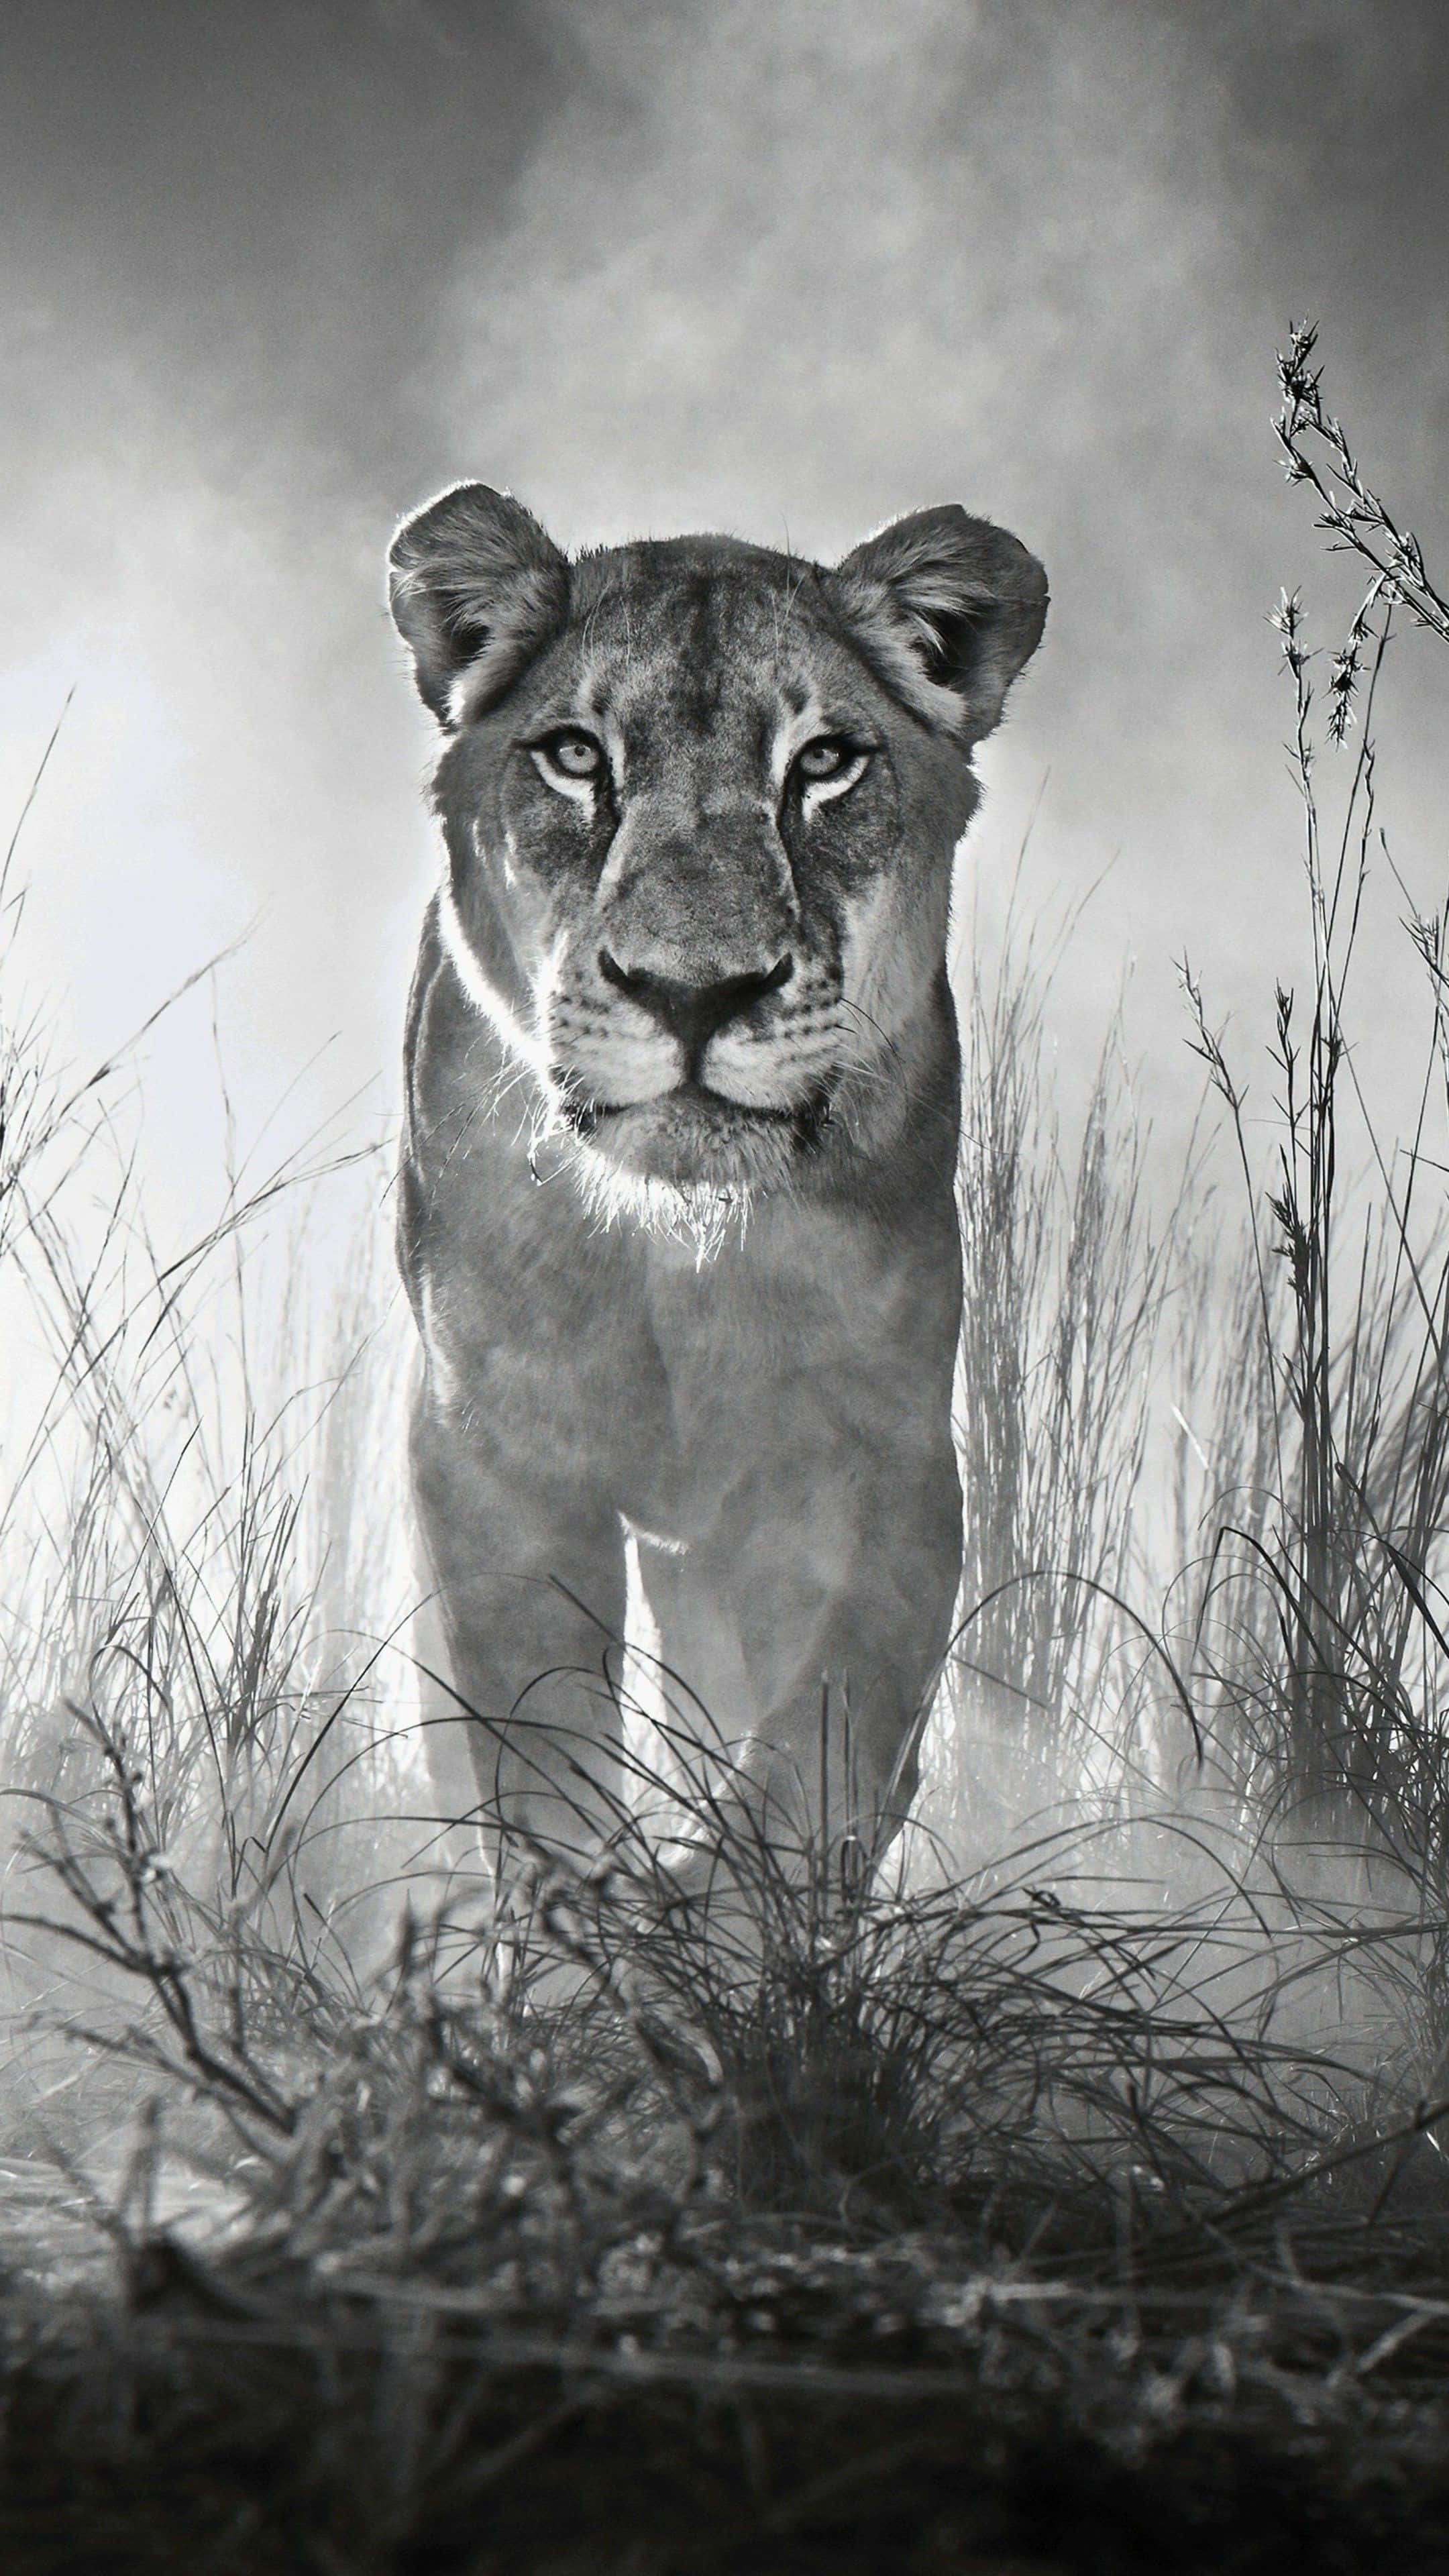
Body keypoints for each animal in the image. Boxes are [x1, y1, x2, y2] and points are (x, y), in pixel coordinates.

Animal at [388, 486, 1047, 1901]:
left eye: (826, 763)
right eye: (575, 757)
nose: (693, 993)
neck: (676, 1255)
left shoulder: (879, 1455)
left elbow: (824, 1739)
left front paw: (726, 1914)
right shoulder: (491, 1446)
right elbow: (537, 1738)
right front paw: (587, 1929)